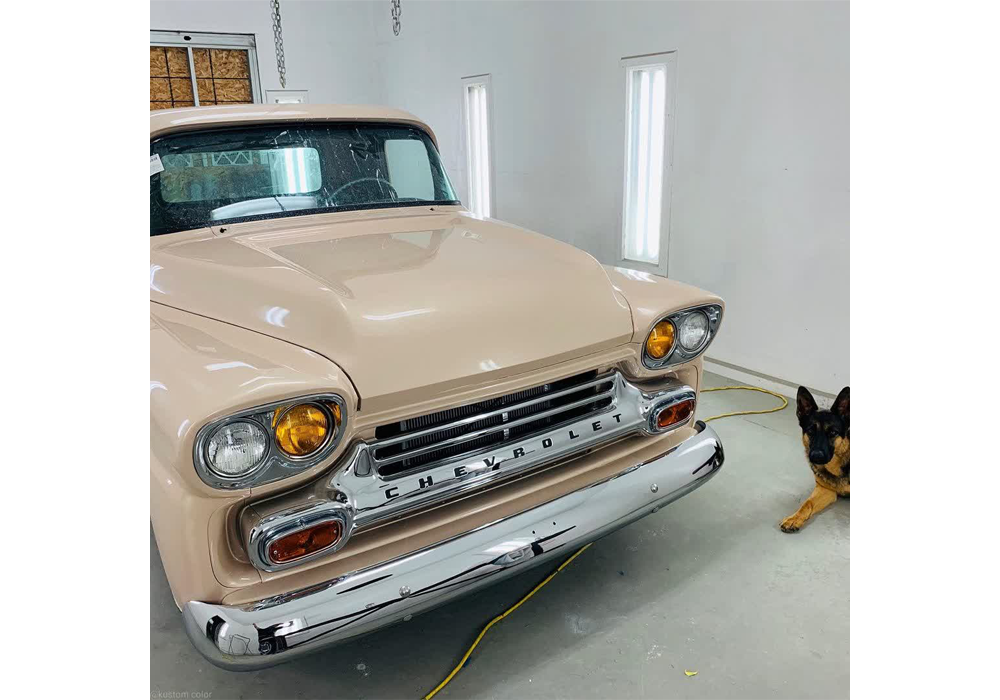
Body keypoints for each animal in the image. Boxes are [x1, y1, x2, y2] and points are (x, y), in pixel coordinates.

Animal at [780, 385, 850, 533]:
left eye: (833, 433)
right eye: (811, 431)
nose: (816, 456)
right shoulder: (825, 490)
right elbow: (807, 503)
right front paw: (794, 518)